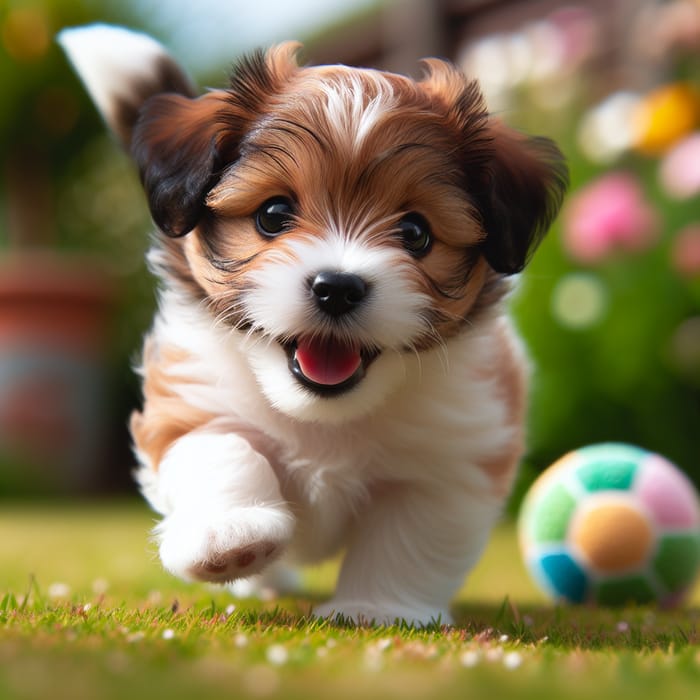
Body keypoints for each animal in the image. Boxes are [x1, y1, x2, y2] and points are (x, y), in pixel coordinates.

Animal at [57, 24, 568, 628]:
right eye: (273, 215)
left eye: (415, 233)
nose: (337, 287)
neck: (323, 419)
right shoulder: (191, 397)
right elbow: (221, 449)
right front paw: (229, 536)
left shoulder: (448, 458)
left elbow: (408, 536)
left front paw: (378, 609)